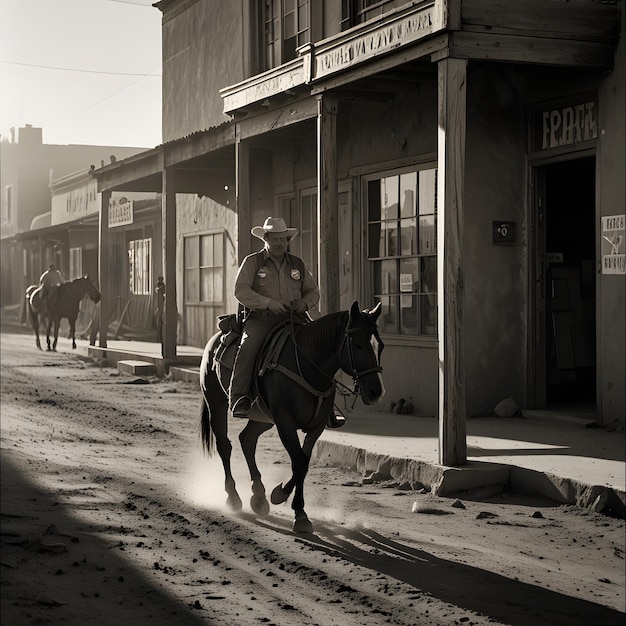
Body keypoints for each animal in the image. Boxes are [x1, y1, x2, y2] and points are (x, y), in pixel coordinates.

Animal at [200, 302, 386, 532]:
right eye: (357, 344)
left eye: (381, 346)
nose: (376, 392)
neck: (308, 365)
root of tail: (216, 337)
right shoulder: (285, 424)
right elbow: (298, 461)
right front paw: (298, 512)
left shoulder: (316, 427)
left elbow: (303, 463)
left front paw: (281, 495)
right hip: (216, 404)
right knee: (225, 446)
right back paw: (233, 497)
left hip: (263, 418)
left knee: (247, 440)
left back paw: (259, 497)